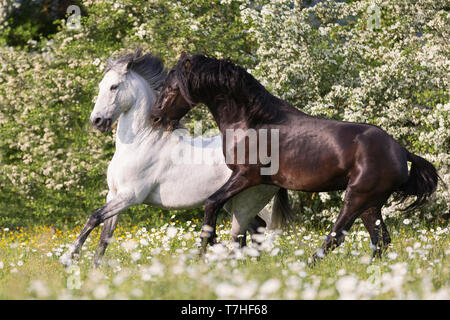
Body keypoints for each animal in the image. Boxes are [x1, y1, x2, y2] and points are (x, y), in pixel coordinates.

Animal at [60, 48, 292, 266]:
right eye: (101, 85)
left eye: (114, 87)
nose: (97, 121)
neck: (141, 142)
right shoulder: (113, 195)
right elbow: (104, 238)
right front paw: (93, 271)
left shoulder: (130, 196)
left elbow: (94, 217)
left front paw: (69, 258)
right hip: (233, 203)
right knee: (255, 230)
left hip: (247, 201)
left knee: (252, 231)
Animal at [150, 53, 440, 262]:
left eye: (172, 88)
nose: (155, 118)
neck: (252, 122)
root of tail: (401, 152)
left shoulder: (246, 176)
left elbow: (212, 204)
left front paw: (206, 250)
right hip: (371, 204)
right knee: (380, 240)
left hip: (357, 197)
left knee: (338, 236)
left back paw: (308, 266)